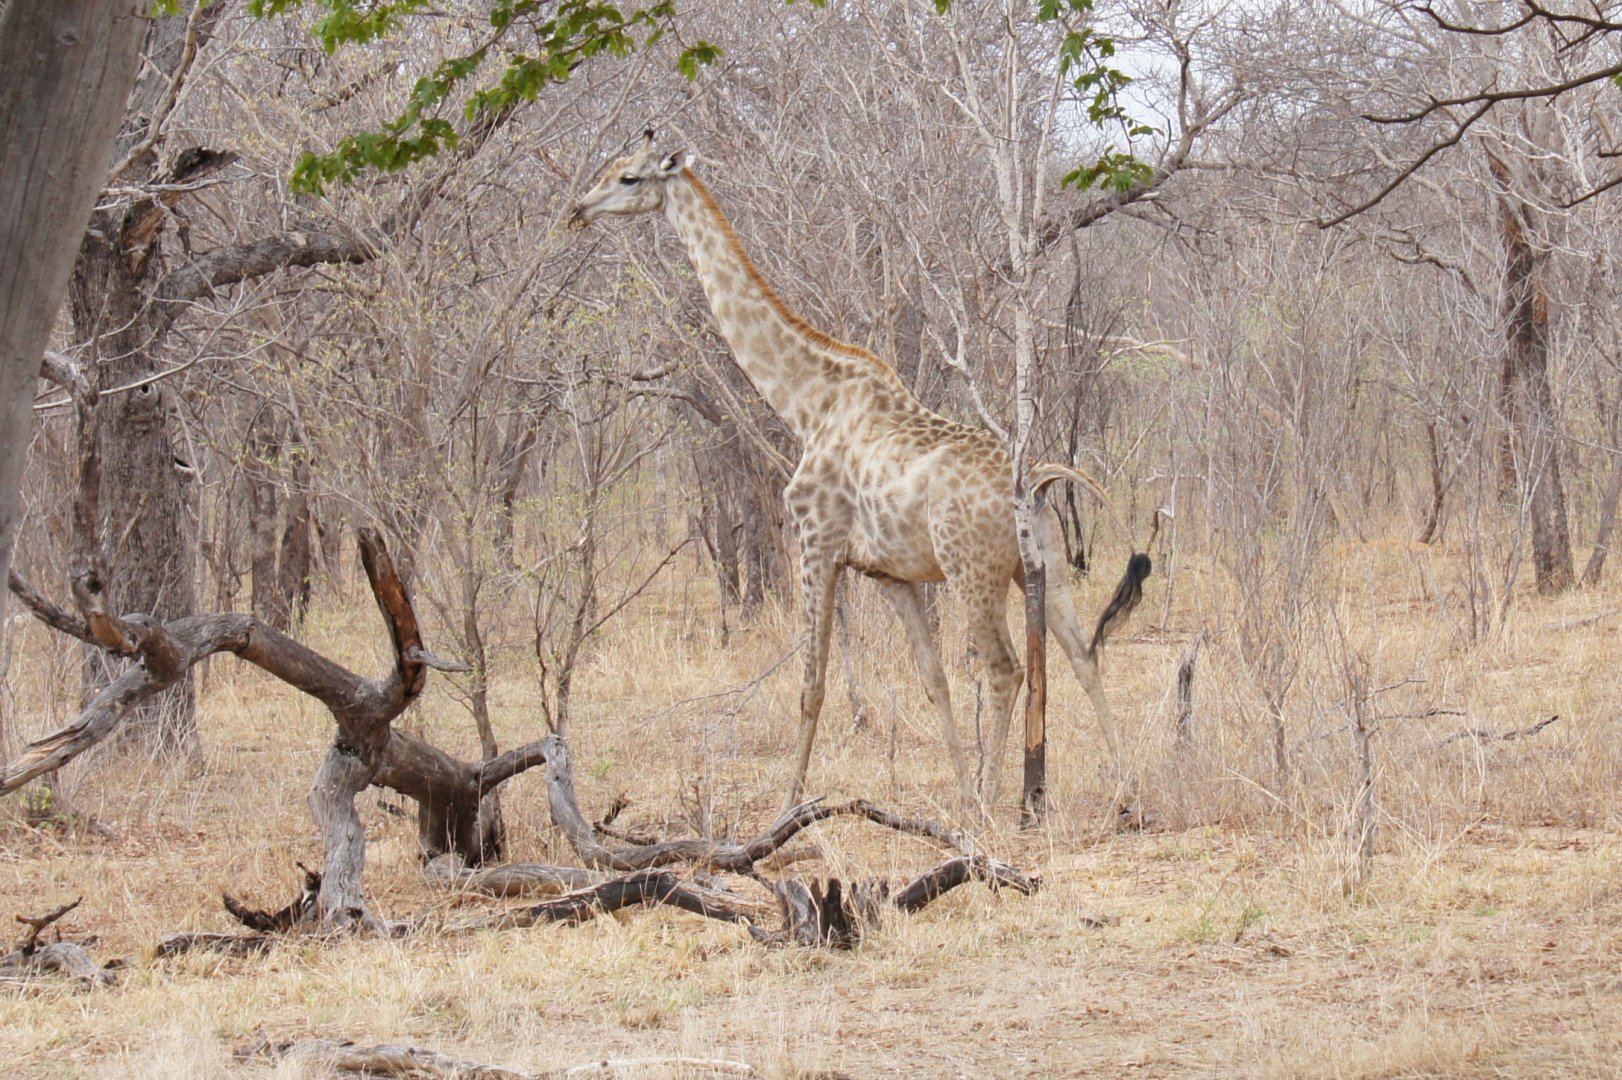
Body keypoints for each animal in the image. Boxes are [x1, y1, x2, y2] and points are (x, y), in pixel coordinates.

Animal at [570, 136, 1149, 808]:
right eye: (609, 171)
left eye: (628, 178)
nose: (579, 209)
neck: (806, 402)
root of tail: (1033, 483)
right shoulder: (888, 573)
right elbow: (933, 680)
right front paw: (955, 789)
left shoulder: (815, 542)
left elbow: (812, 685)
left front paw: (789, 805)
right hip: (1044, 562)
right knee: (1082, 653)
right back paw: (1124, 787)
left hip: (971, 569)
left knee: (1005, 667)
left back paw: (991, 800)